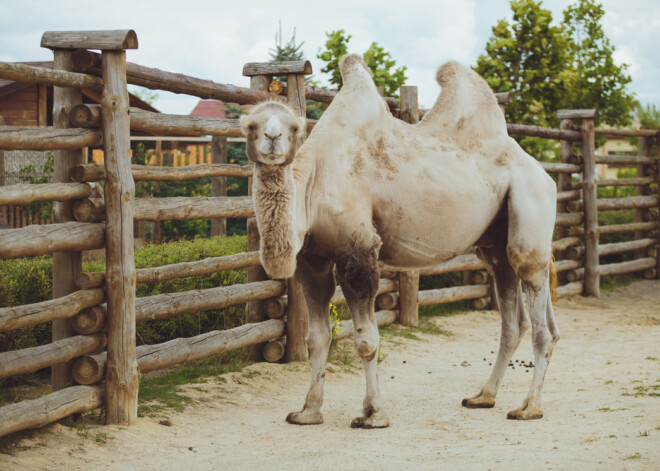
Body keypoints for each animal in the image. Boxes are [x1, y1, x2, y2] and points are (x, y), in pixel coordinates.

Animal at [240, 54, 560, 428]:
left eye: (292, 127)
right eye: (251, 126)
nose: (273, 138)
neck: (314, 182)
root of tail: (541, 171)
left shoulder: (359, 250)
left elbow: (366, 339)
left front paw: (373, 413)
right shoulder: (312, 258)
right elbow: (317, 338)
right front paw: (308, 411)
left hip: (529, 204)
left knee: (534, 297)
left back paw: (529, 407)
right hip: (495, 241)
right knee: (514, 314)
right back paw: (484, 396)